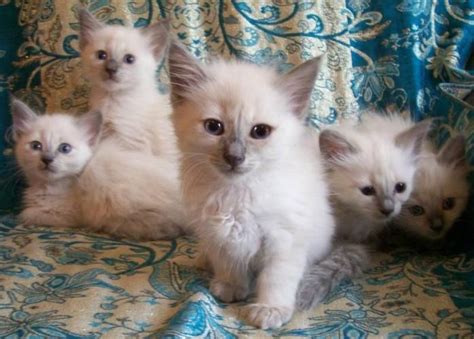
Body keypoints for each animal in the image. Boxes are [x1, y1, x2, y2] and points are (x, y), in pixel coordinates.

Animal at [168, 42, 336, 330]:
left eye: (260, 132)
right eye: (214, 127)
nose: (234, 157)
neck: (238, 194)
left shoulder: (285, 239)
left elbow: (276, 279)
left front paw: (270, 309)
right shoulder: (219, 233)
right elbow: (229, 264)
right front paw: (231, 287)